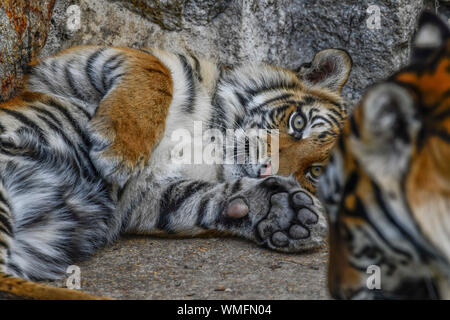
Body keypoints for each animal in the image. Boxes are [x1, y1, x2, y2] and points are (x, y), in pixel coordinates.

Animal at [0, 42, 352, 298]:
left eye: (315, 172)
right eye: (298, 123)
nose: (268, 172)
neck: (214, 140)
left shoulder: (144, 196)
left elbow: (203, 201)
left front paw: (288, 214)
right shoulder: (60, 69)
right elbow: (154, 71)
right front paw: (119, 151)